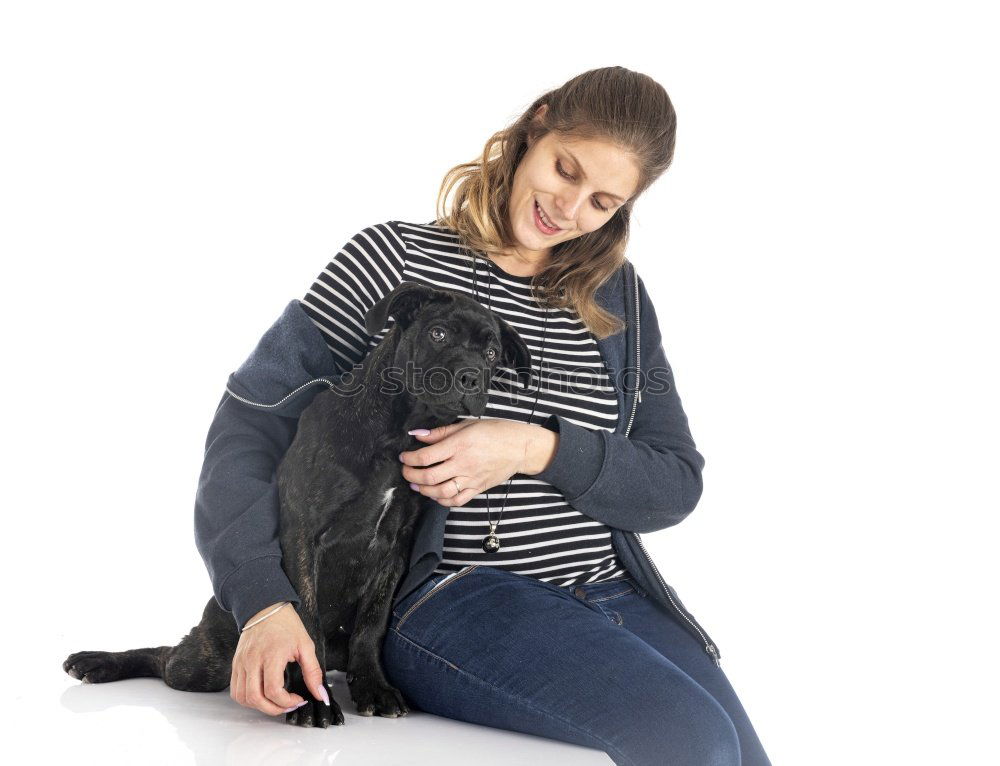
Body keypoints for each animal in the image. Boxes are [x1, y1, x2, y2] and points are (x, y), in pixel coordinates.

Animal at [61, 284, 536, 732]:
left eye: (492, 353)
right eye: (438, 334)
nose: (472, 378)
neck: (396, 433)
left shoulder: (395, 549)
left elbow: (373, 624)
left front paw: (374, 687)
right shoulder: (304, 536)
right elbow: (304, 622)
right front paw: (311, 698)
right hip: (205, 662)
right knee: (166, 657)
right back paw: (99, 661)